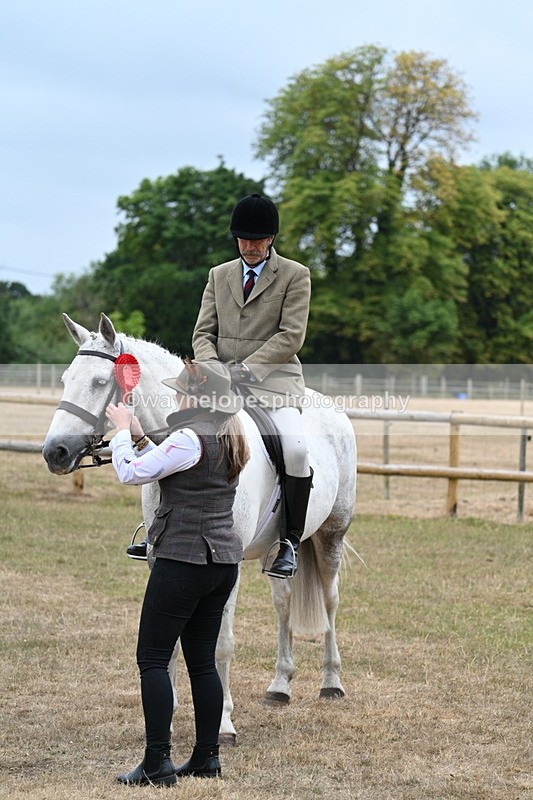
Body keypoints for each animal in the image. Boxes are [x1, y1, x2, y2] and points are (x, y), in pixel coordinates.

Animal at [42, 313, 357, 744]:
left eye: (100, 382)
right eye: (66, 378)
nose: (53, 452)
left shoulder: (227, 565)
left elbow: (220, 643)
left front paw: (222, 722)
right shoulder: (162, 561)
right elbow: (171, 637)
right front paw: (168, 715)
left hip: (331, 536)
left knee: (329, 602)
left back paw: (332, 683)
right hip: (276, 551)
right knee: (284, 603)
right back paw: (280, 686)